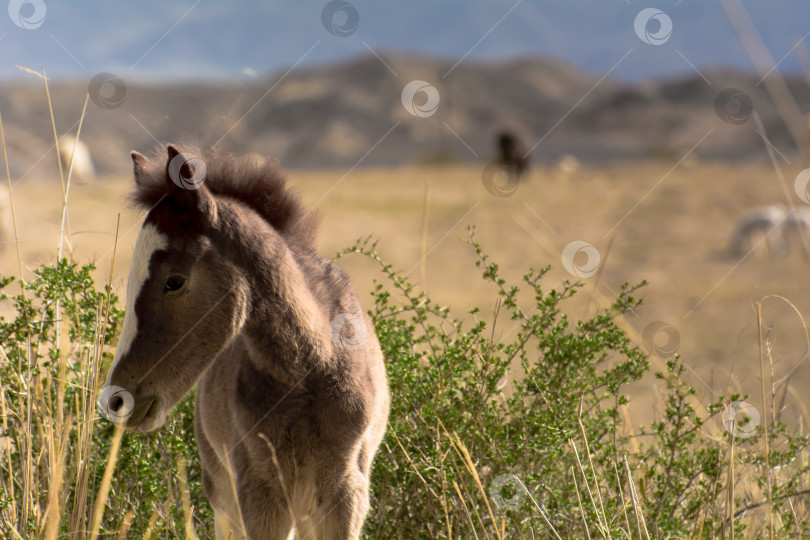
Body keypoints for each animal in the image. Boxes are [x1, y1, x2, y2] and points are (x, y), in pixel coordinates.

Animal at [99, 146, 390, 536]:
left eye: (174, 281)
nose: (117, 400)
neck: (315, 369)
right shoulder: (258, 493)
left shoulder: (345, 494)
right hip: (226, 499)